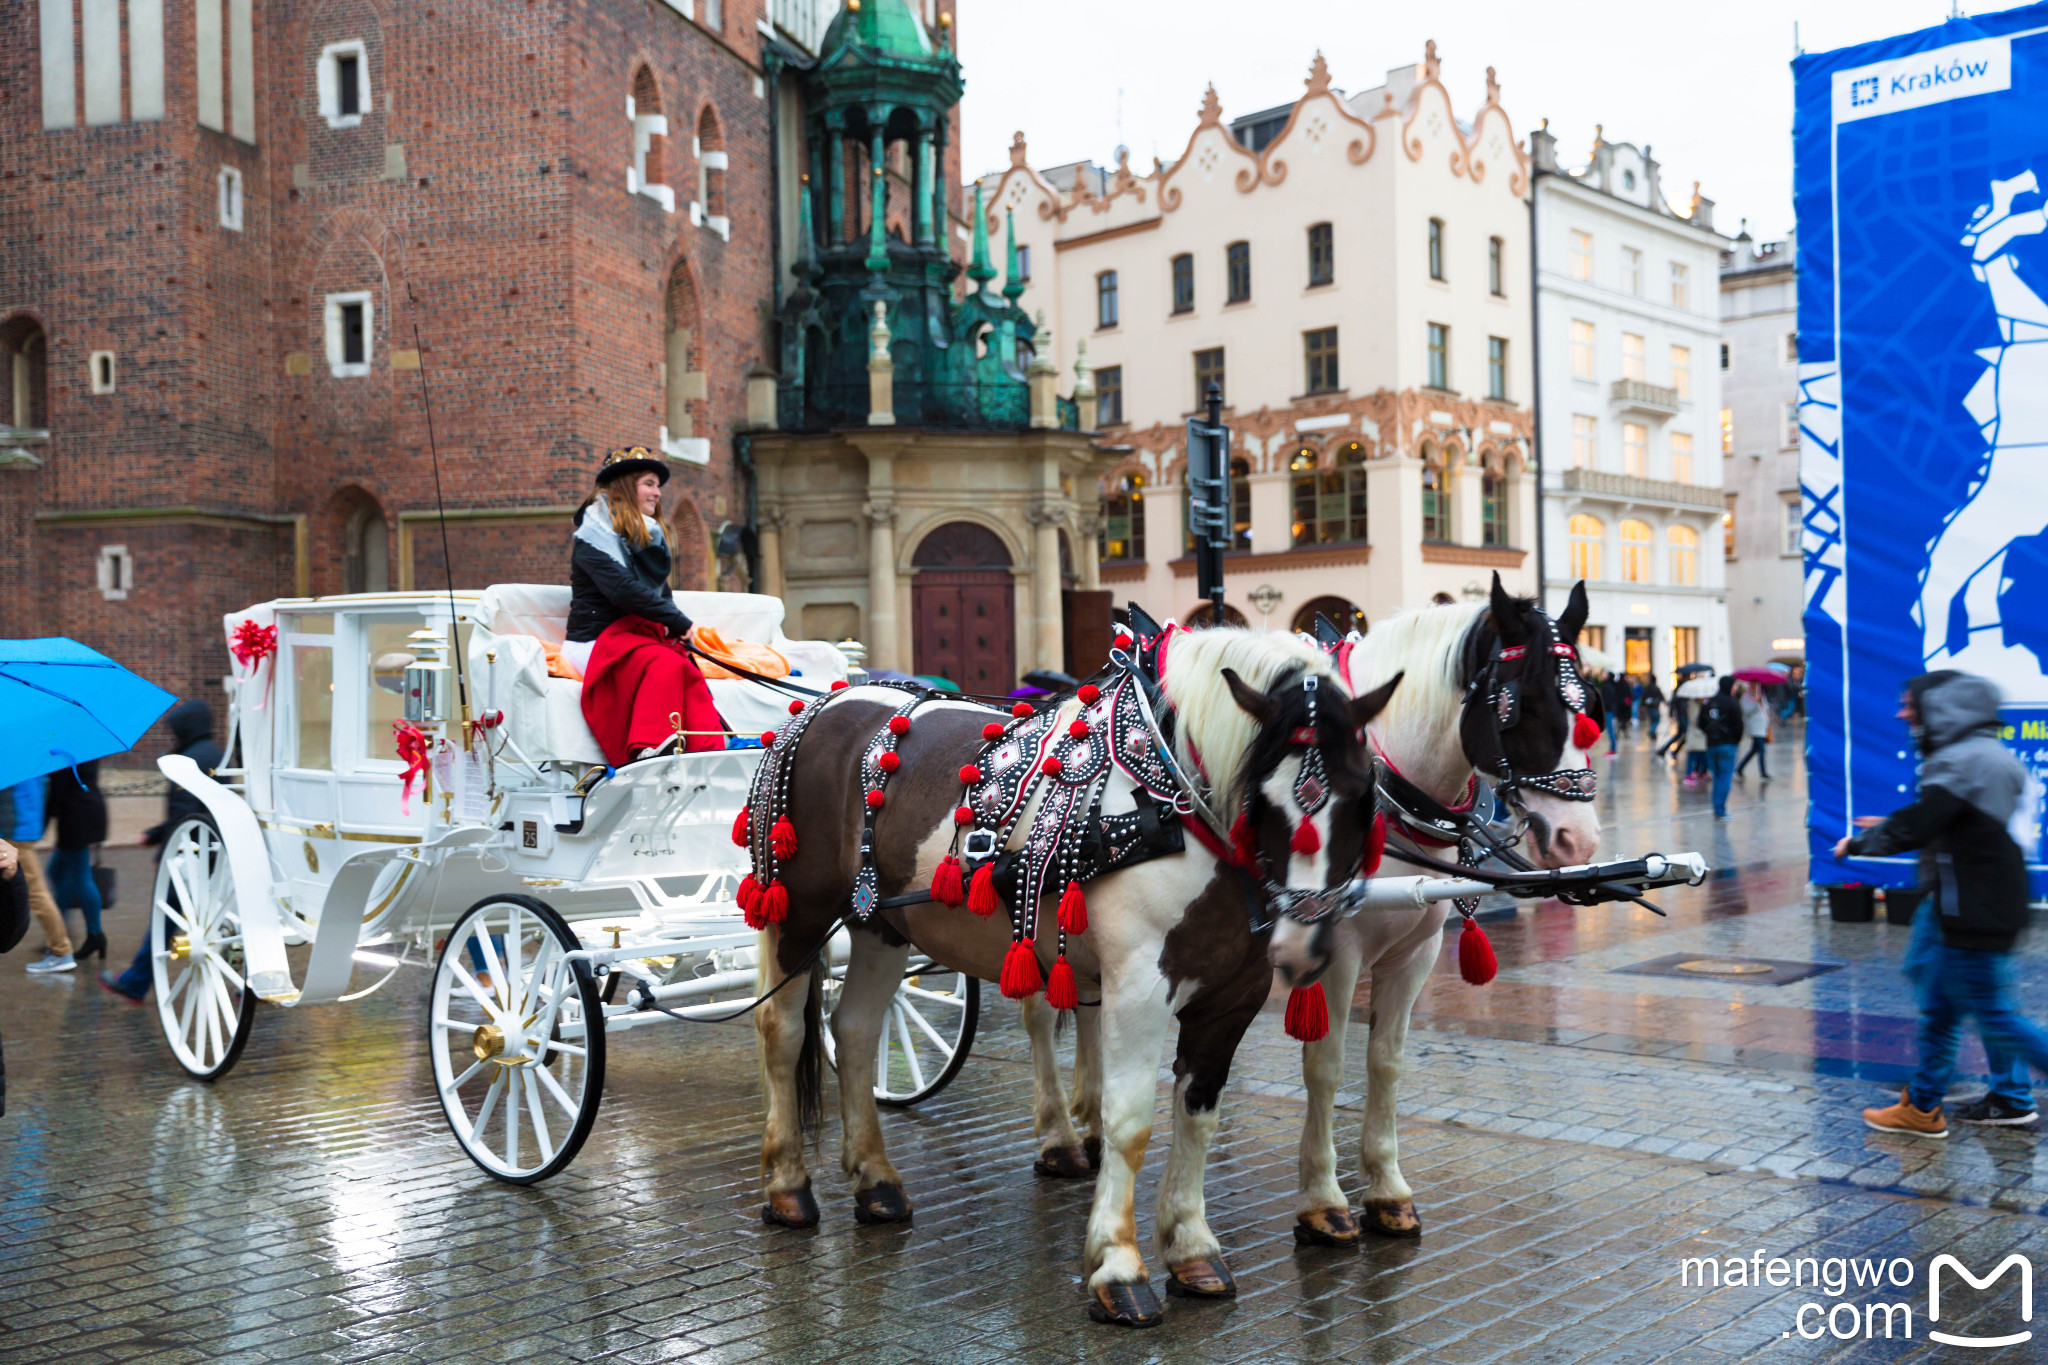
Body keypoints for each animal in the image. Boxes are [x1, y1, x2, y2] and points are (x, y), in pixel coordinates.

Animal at [757, 626, 1409, 1326]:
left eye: (1364, 796)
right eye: (1261, 799)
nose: (1304, 947)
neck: (1175, 805)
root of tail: (827, 702)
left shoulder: (1234, 995)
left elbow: (1198, 1115)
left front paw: (1192, 1248)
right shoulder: (1139, 987)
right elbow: (1130, 1123)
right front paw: (1119, 1266)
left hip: (880, 924)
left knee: (853, 1032)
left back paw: (876, 1181)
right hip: (800, 912)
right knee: (784, 1033)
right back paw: (788, 1186)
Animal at [1269, 577, 1605, 1252]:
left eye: (1591, 706)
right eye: (1520, 708)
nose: (1578, 841)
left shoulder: (1416, 951)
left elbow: (1385, 1060)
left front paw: (1388, 1191)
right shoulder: (1334, 957)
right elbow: (1325, 1066)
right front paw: (1322, 1201)